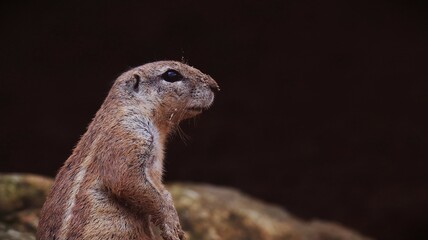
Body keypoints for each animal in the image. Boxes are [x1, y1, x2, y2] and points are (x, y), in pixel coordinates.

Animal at [36, 61, 221, 239]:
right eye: (171, 74)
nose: (215, 86)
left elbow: (163, 192)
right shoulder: (127, 136)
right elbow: (127, 181)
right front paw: (170, 226)